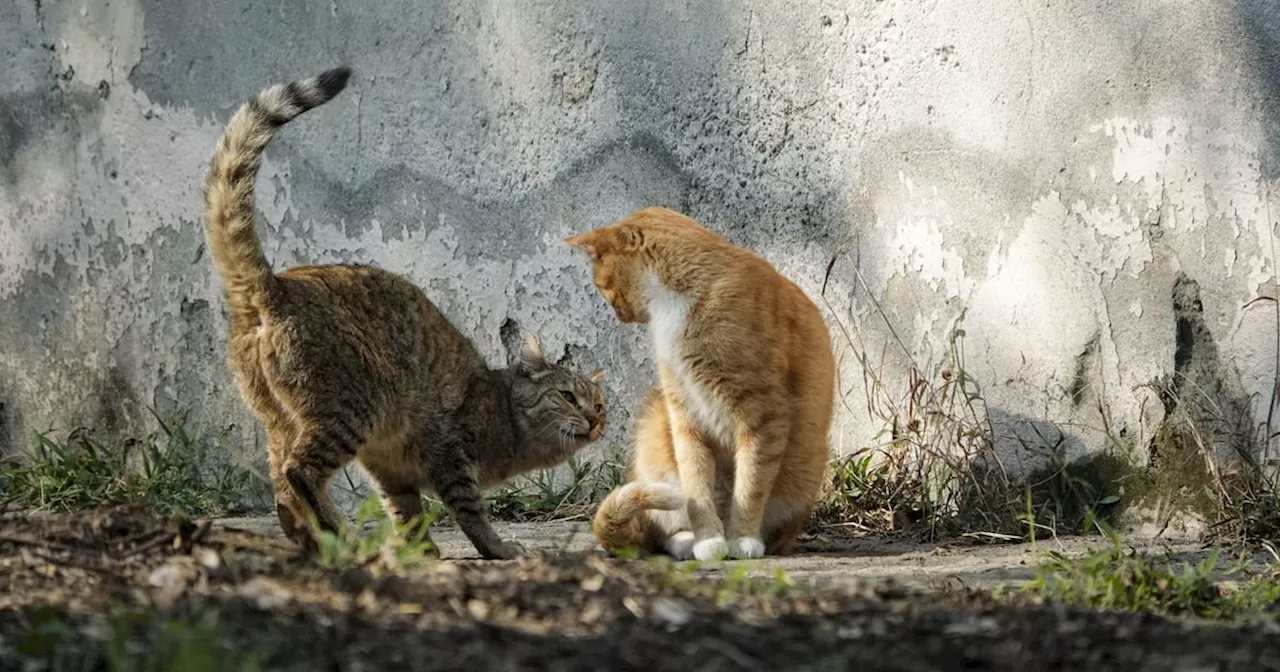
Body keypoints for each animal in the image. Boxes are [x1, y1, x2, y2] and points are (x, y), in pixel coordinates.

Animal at [200, 66, 609, 560]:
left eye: (600, 405)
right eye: (567, 396)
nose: (594, 420)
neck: (505, 415)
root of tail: (274, 286)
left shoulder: (390, 468)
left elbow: (406, 512)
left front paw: (421, 552)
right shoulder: (448, 451)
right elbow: (469, 510)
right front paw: (497, 548)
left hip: (282, 420)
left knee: (282, 486)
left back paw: (315, 540)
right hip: (347, 407)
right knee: (301, 471)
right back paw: (340, 533)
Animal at [568, 207, 829, 558]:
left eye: (600, 284)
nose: (619, 315)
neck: (674, 307)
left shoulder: (763, 413)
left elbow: (750, 485)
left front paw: (743, 538)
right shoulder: (683, 411)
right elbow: (695, 484)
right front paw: (708, 540)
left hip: (804, 472)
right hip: (655, 434)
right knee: (662, 529)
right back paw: (687, 541)